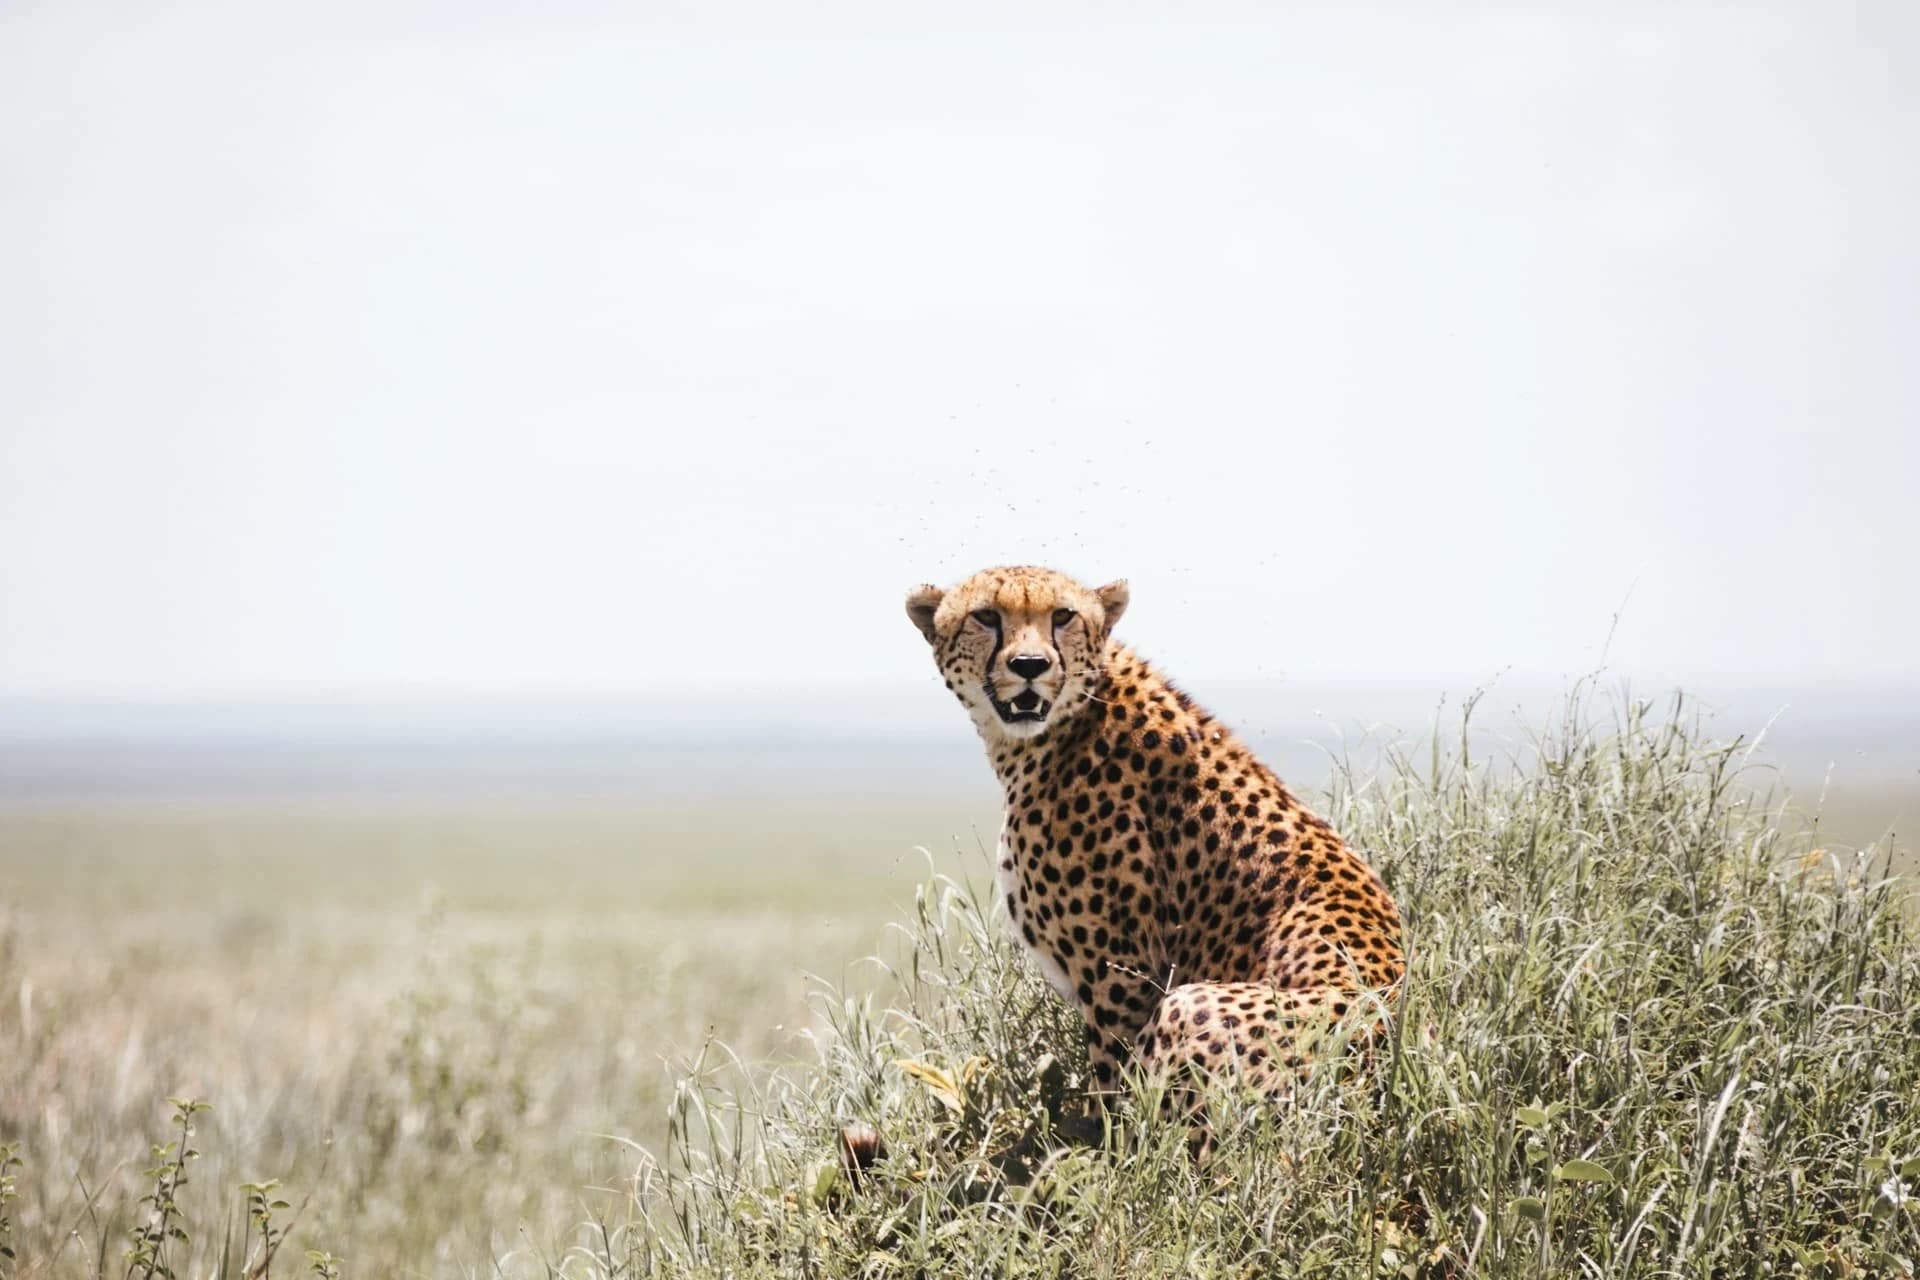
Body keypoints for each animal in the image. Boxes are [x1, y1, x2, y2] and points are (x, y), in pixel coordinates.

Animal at [905, 564, 1405, 1111]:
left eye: (1063, 615)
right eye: (986, 616)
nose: (1030, 665)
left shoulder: (1122, 974)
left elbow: (1111, 1102)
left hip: (1191, 1005)